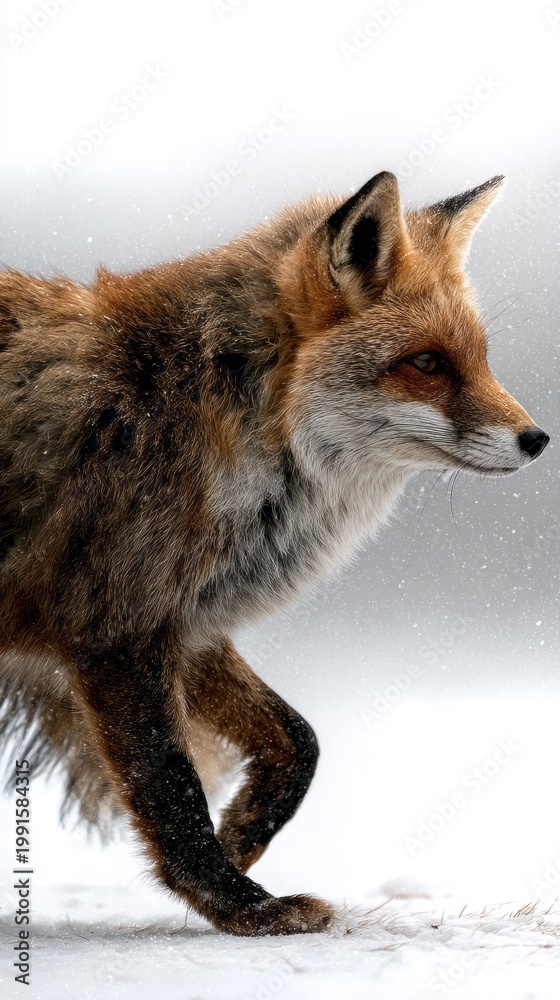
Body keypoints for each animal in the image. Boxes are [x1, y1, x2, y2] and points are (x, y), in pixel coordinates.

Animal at [0, 171, 549, 936]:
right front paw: (244, 908)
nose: (537, 439)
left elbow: (299, 740)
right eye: (426, 364)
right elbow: (172, 790)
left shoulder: (188, 622)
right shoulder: (115, 626)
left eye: (480, 358)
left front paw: (243, 835)